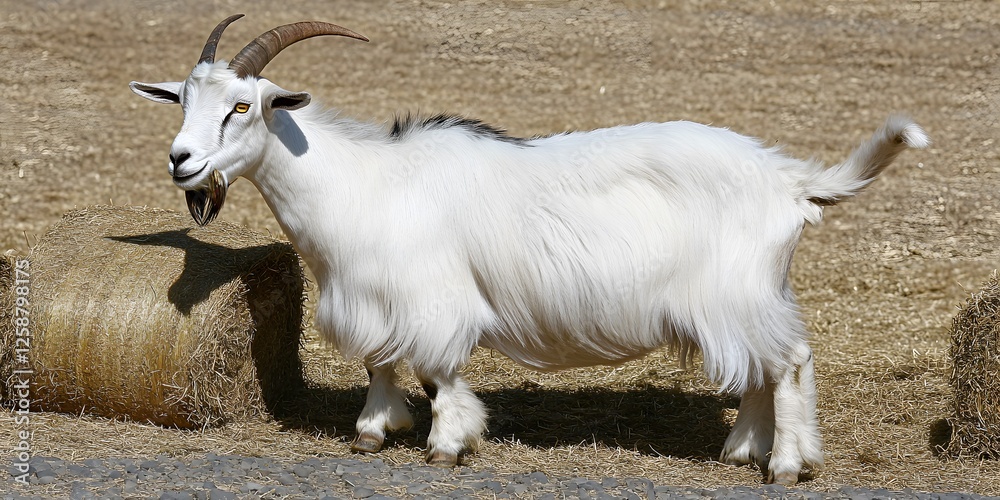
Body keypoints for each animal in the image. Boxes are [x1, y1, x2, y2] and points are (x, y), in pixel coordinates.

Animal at [130, 15, 928, 485]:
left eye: (243, 106)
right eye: (183, 102)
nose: (182, 162)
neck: (364, 182)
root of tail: (790, 180)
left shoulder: (434, 298)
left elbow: (438, 369)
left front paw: (447, 443)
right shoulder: (375, 297)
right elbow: (381, 360)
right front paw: (374, 431)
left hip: (739, 291)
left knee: (789, 363)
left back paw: (786, 465)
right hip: (746, 296)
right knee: (762, 369)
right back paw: (744, 450)